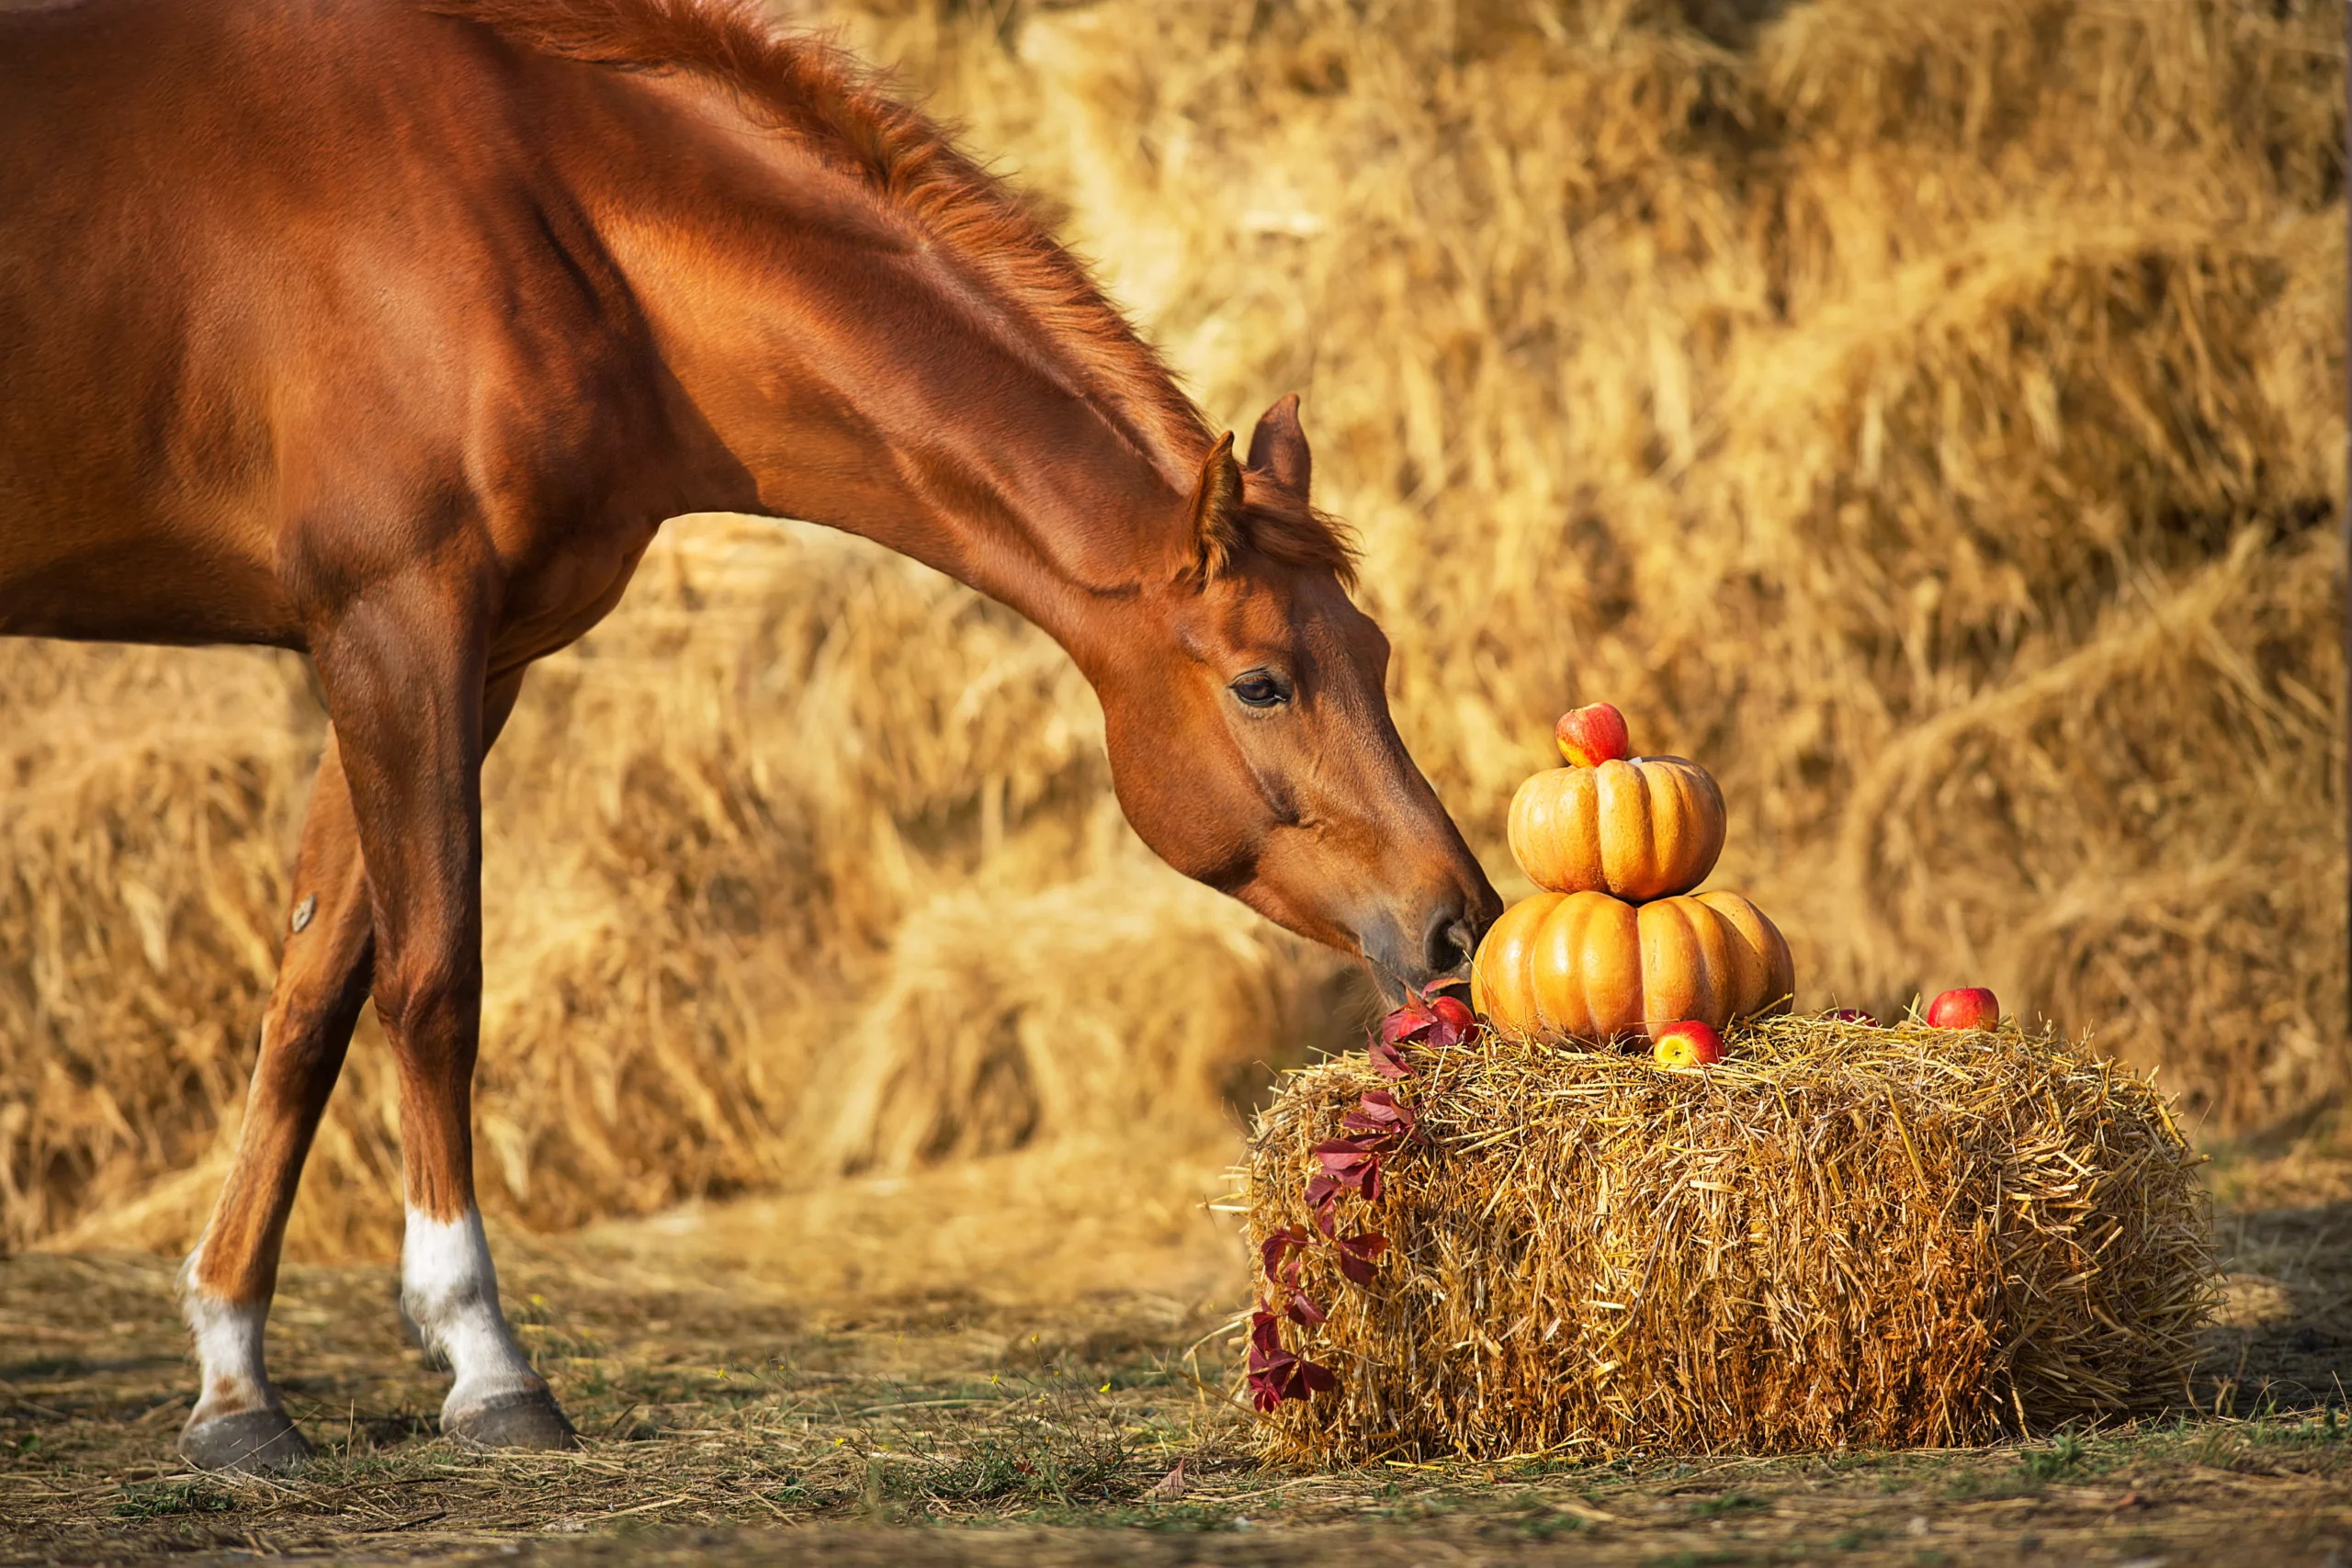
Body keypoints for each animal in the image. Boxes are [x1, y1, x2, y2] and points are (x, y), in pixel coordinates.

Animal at [0, 0, 1503, 1472]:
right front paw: (484, 1359)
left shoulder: (462, 660)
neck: (536, 208)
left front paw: (234, 1382)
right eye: (1262, 684)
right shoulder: (394, 625)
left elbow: (311, 996)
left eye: (1373, 653)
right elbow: (434, 983)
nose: (1459, 919)